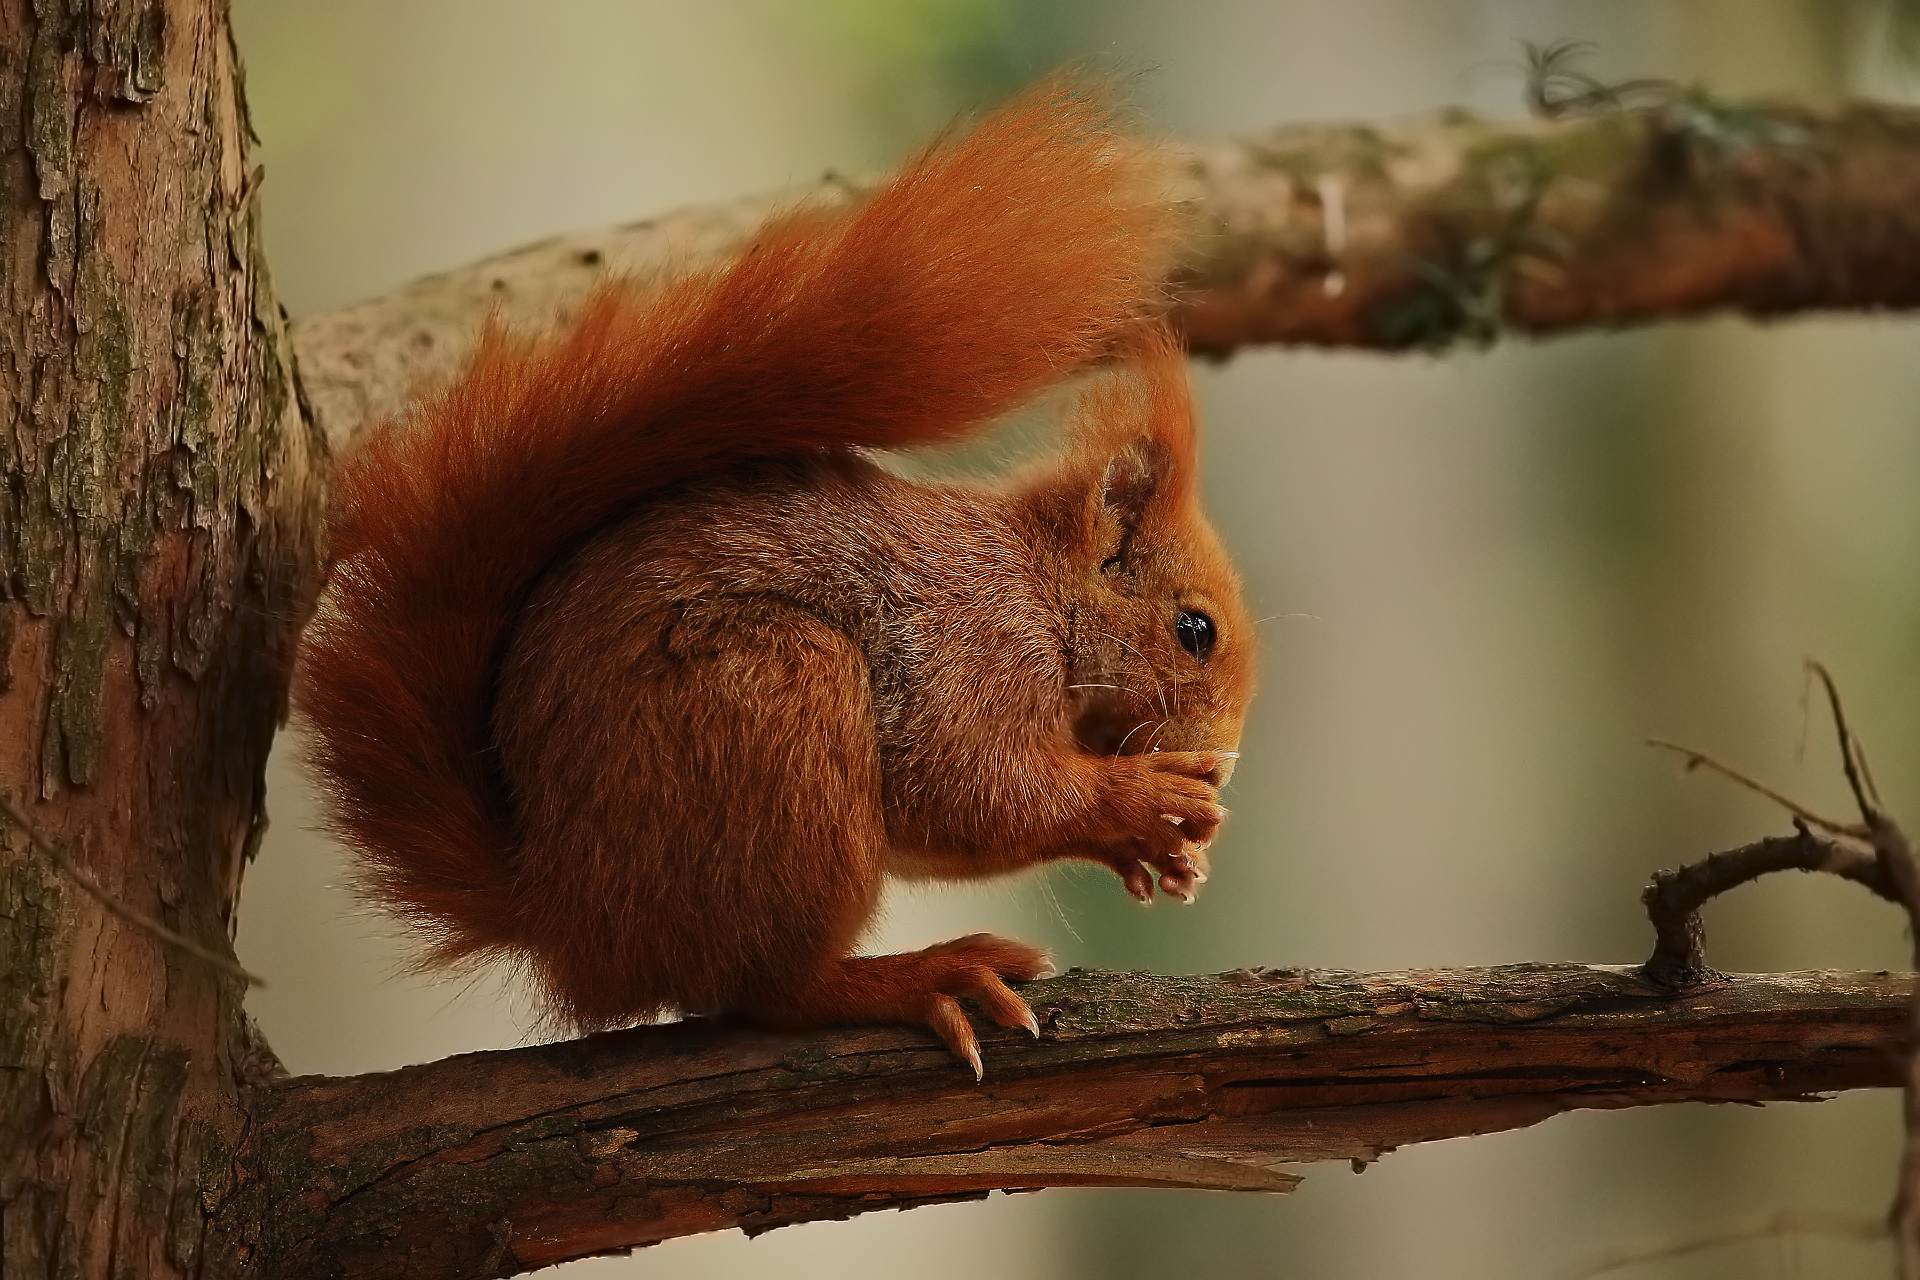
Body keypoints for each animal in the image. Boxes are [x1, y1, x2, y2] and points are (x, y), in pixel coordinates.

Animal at [295, 78, 1256, 1079]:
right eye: (1194, 630)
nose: (1225, 758)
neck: (1039, 590)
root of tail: (566, 917)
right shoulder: (976, 648)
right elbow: (970, 788)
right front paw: (1140, 802)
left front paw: (1162, 852)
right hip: (778, 707)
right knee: (767, 989)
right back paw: (915, 976)